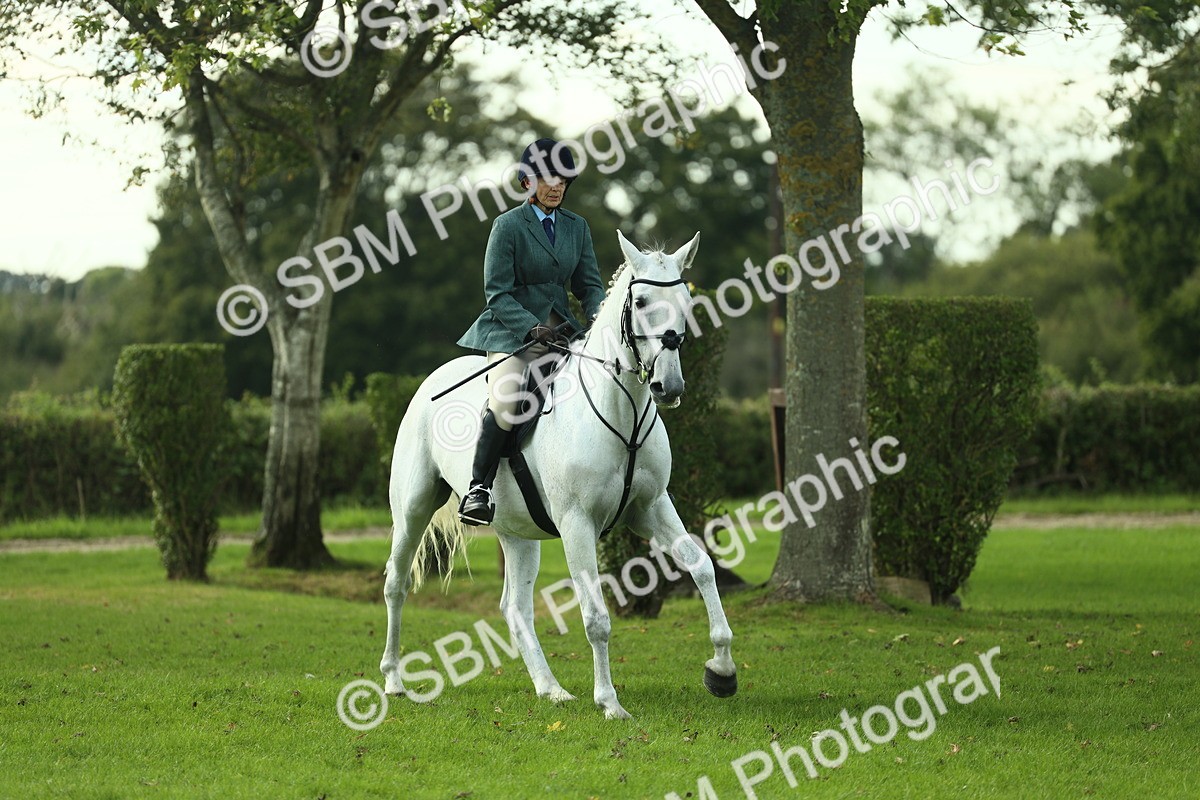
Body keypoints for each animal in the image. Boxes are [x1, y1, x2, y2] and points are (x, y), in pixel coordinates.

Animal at [379, 229, 737, 719]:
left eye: (686, 301)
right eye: (642, 300)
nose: (670, 386)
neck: (620, 412)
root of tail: (431, 379)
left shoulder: (651, 508)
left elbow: (702, 567)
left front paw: (721, 670)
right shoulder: (576, 523)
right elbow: (596, 616)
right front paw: (609, 703)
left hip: (516, 531)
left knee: (515, 608)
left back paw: (551, 688)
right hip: (413, 509)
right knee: (395, 584)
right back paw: (394, 680)